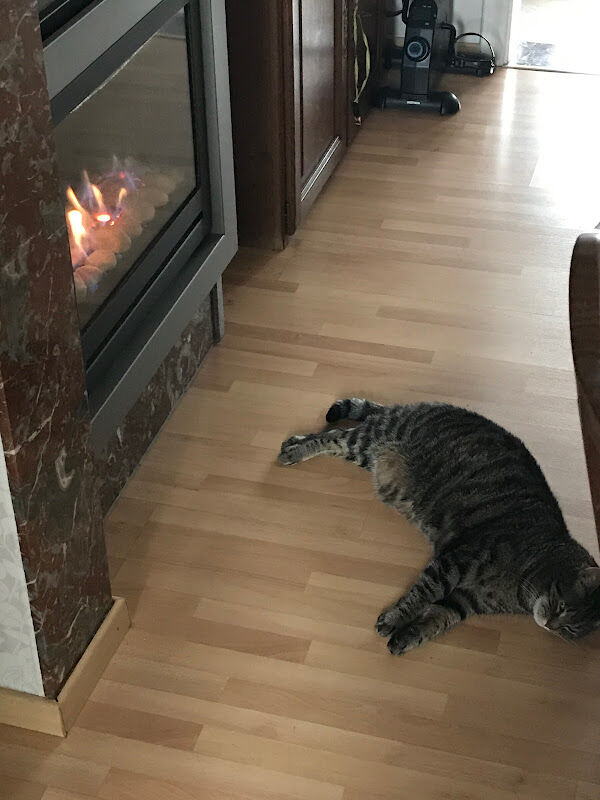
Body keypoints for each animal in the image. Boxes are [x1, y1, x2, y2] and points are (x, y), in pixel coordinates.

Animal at [278, 404, 600, 652]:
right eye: (562, 607)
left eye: (569, 630)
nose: (550, 626)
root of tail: (421, 407)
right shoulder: (455, 562)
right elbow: (422, 594)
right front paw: (394, 619)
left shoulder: (466, 600)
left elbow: (438, 618)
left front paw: (408, 636)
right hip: (374, 437)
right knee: (334, 436)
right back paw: (294, 451)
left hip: (366, 454)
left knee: (331, 435)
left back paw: (294, 442)